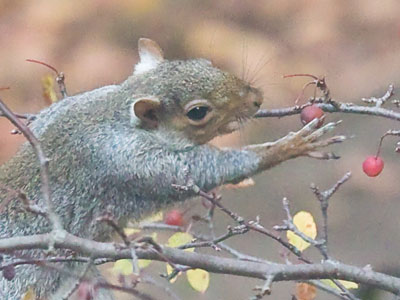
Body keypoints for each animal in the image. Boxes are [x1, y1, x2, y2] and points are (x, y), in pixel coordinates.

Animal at [0, 38, 340, 298]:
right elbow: (207, 169)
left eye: (205, 63)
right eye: (198, 112)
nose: (256, 99)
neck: (115, 114)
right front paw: (289, 146)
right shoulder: (131, 163)